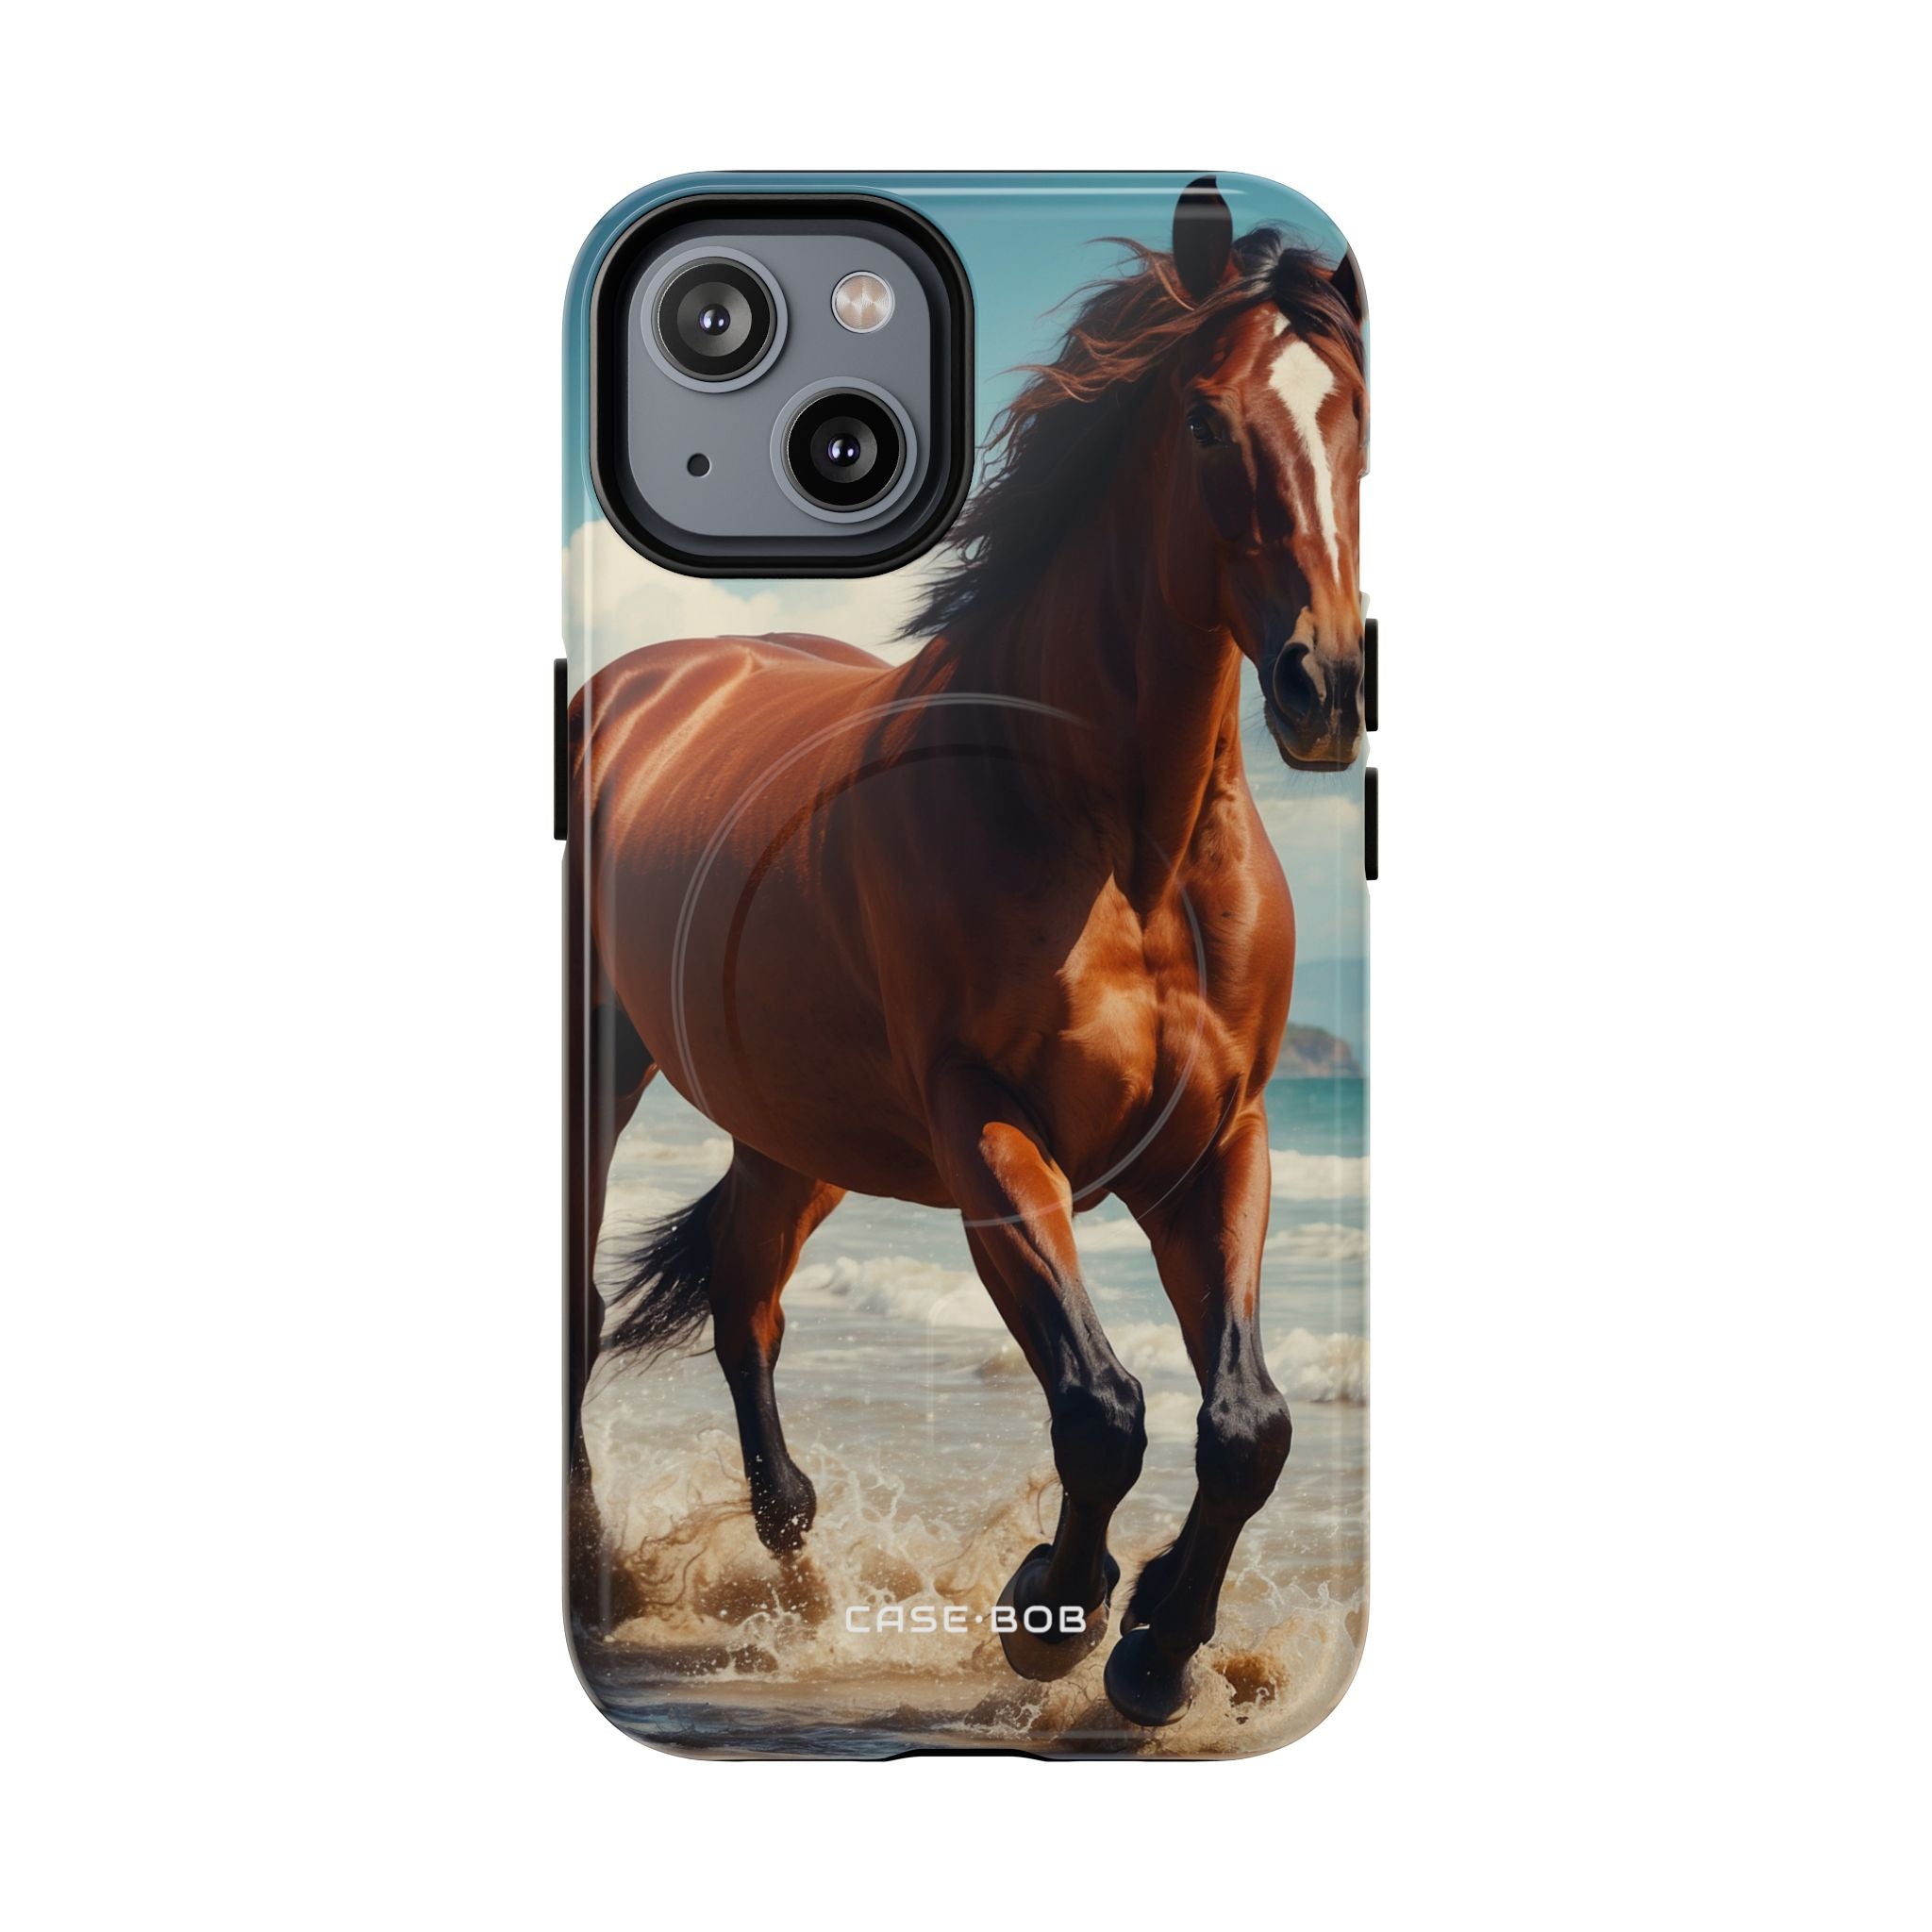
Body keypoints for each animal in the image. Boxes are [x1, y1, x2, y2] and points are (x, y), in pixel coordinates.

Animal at [566, 177, 1367, 1728]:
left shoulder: (1218, 1141)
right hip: (602, 1083)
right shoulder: (988, 1131)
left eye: (1355, 411)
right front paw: (1056, 1612)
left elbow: (1246, 1424)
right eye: (1201, 419)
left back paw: (800, 1578)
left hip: (793, 1129)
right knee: (584, 1308)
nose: (1325, 683)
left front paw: (1159, 1645)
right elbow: (1101, 1409)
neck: (1116, 839)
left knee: (745, 1307)